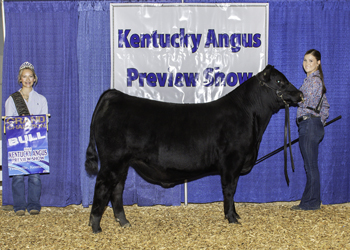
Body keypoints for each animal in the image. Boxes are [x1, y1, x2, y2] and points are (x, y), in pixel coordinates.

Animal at [85, 64, 304, 232]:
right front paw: (232, 217)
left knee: (117, 189)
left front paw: (235, 215)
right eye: (279, 82)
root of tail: (114, 95)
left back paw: (124, 222)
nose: (300, 94)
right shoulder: (232, 161)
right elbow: (230, 190)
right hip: (112, 161)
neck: (250, 117)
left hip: (122, 163)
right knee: (102, 187)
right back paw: (95, 227)